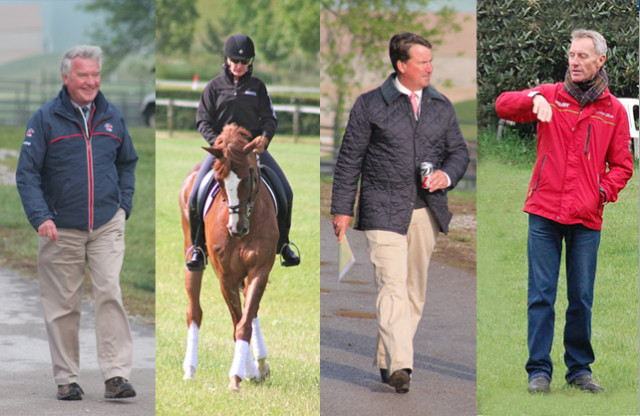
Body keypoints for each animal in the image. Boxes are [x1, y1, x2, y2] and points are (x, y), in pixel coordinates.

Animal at [180, 122, 280, 390]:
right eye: (219, 181)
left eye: (249, 176)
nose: (236, 228)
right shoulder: (226, 276)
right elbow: (237, 323)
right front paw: (239, 375)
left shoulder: (259, 270)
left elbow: (246, 320)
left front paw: (246, 372)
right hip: (193, 257)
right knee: (194, 312)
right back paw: (190, 369)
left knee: (250, 313)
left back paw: (259, 365)